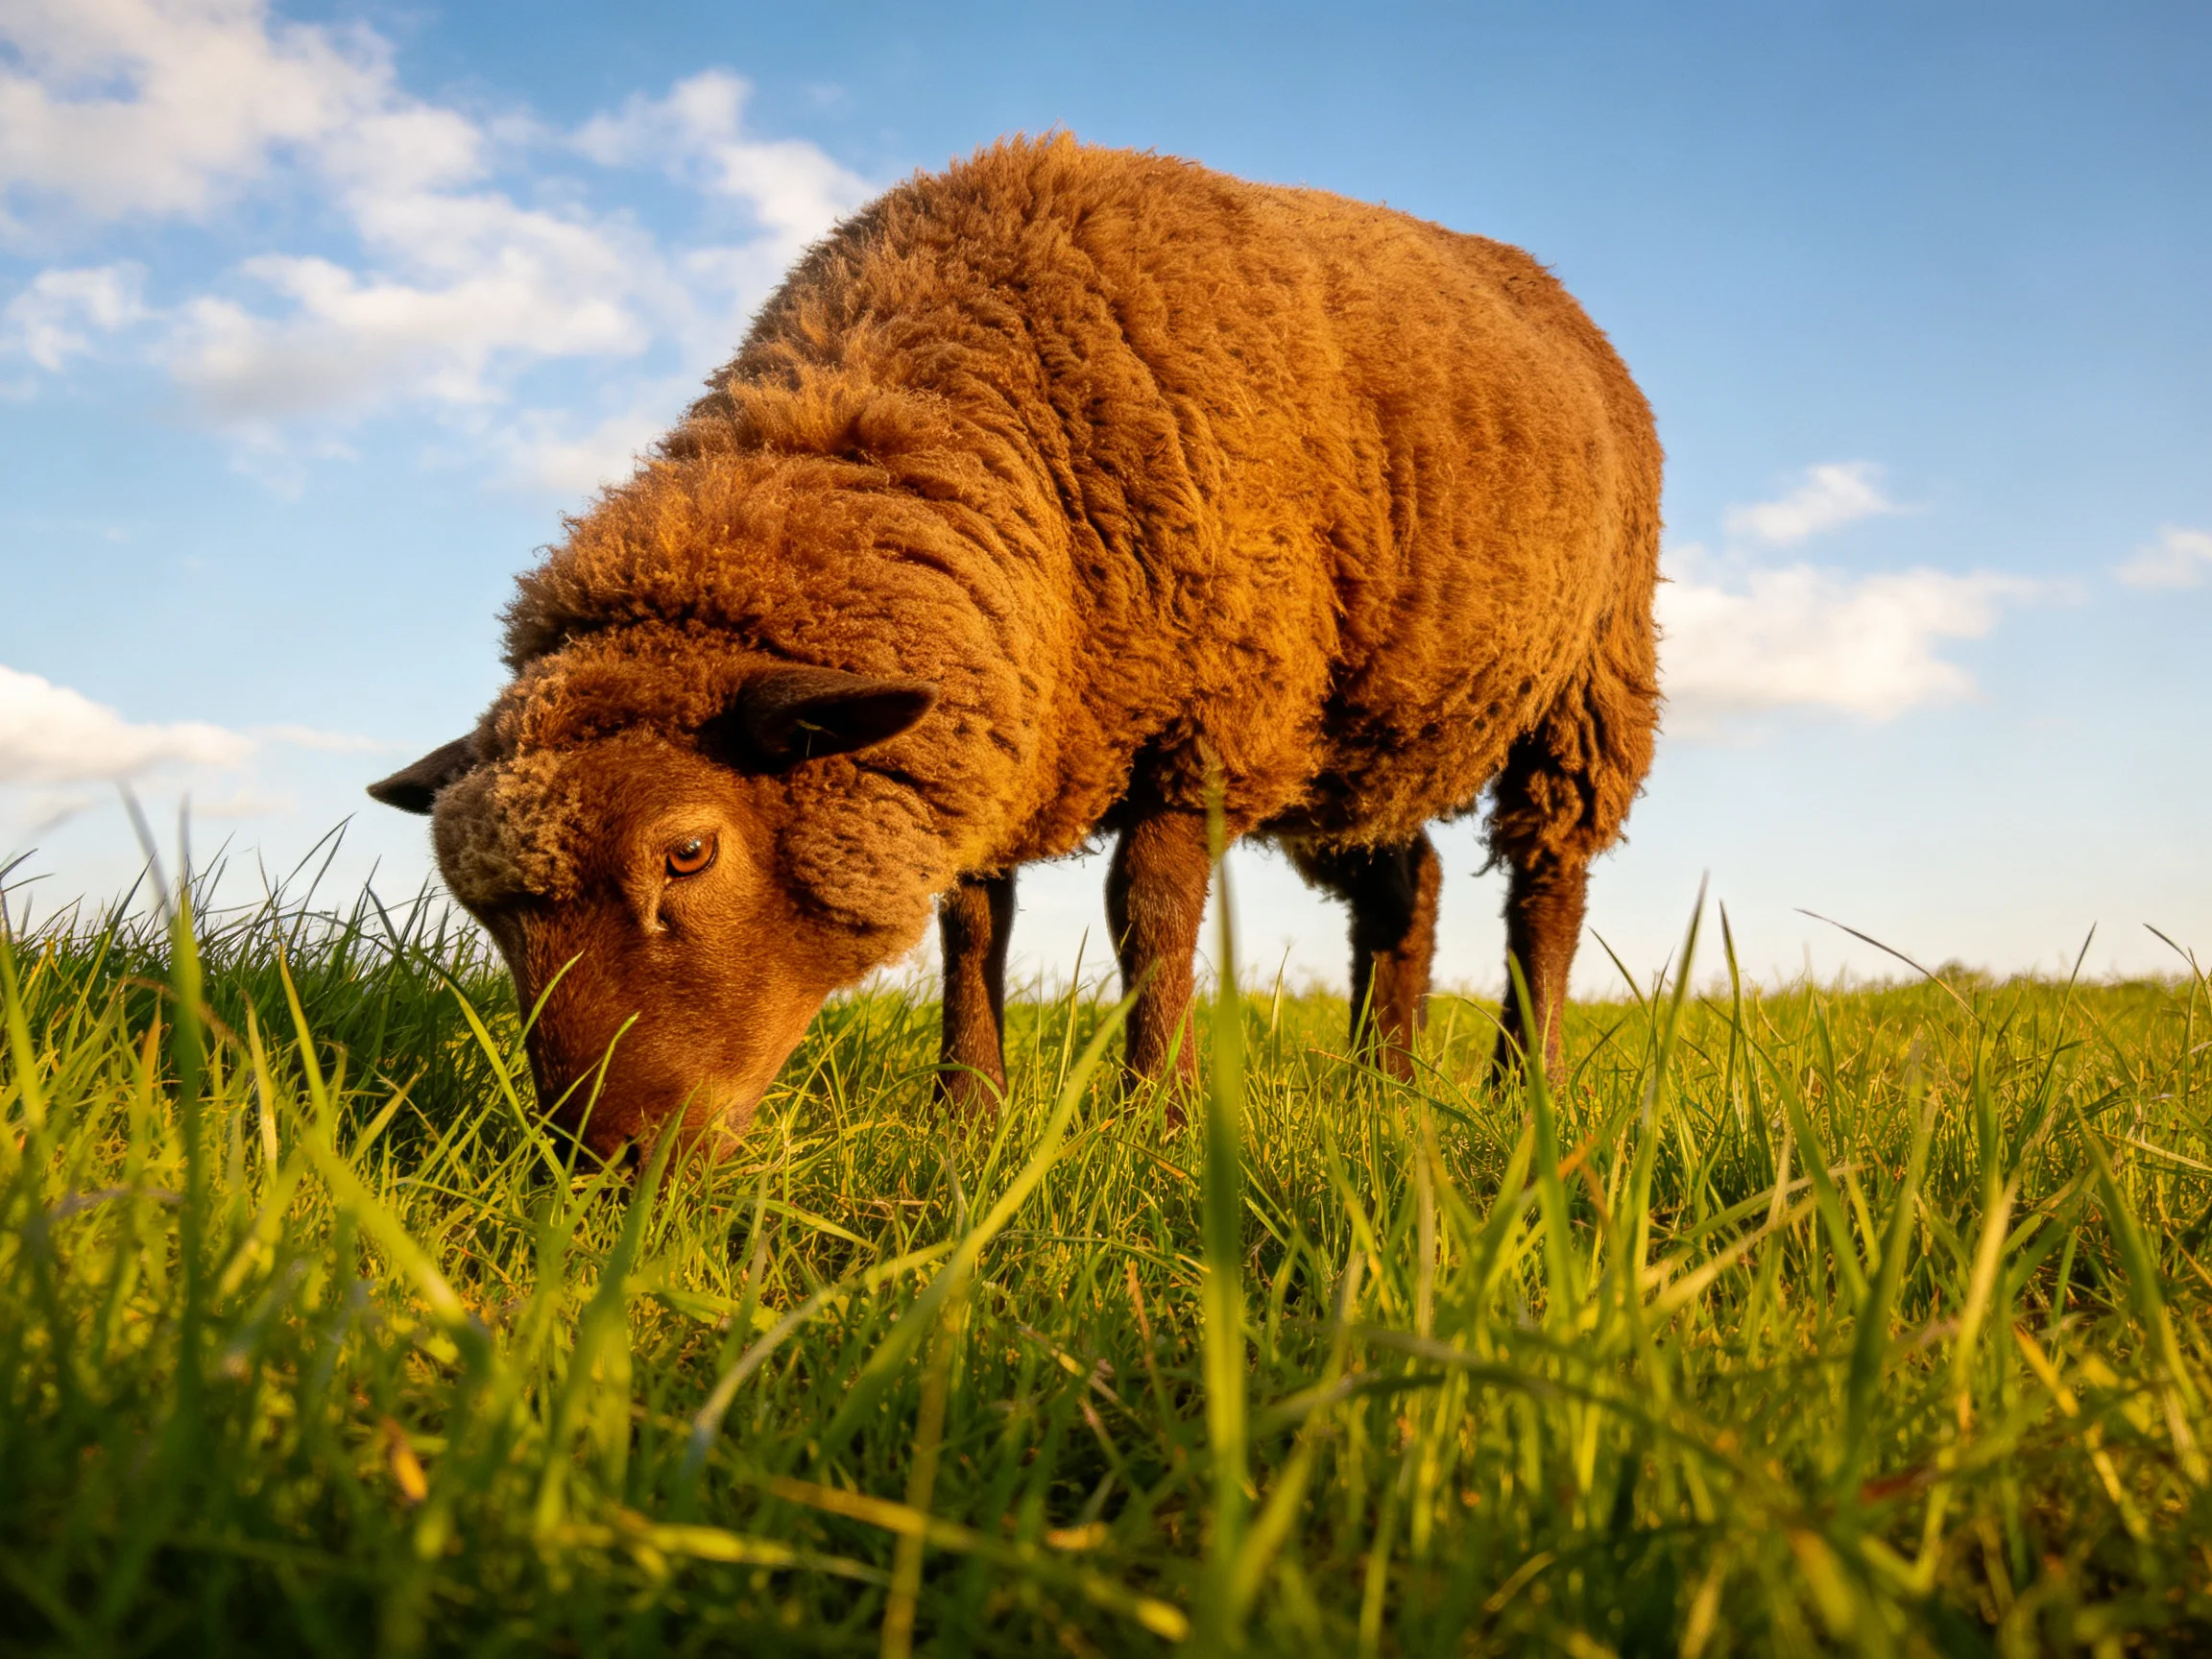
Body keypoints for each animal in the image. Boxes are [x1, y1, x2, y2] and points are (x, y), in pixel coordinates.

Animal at [369, 134, 1661, 1158]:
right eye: (482, 911)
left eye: (687, 854)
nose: (603, 1162)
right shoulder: (990, 711)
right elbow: (972, 926)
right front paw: (968, 1116)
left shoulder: (1205, 717)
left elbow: (1149, 917)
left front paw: (1154, 1122)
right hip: (1358, 729)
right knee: (1408, 884)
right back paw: (1377, 1090)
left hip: (1586, 686)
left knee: (1545, 894)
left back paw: (1521, 1090)